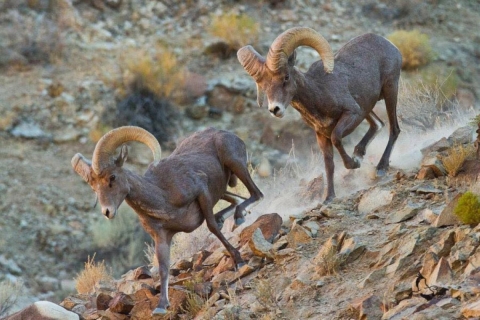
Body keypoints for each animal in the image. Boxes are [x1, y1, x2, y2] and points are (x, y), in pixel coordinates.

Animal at [72, 125, 262, 316]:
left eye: (112, 177)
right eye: (93, 186)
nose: (107, 212)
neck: (163, 196)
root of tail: (226, 133)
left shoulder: (202, 192)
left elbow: (213, 227)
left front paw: (239, 261)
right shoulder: (161, 237)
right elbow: (163, 267)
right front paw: (161, 306)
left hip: (234, 163)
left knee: (256, 194)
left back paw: (239, 216)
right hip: (222, 190)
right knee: (236, 199)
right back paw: (231, 216)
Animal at [239, 27, 402, 202]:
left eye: (286, 77)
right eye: (263, 85)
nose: (275, 109)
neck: (319, 94)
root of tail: (389, 44)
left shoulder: (352, 113)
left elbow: (336, 138)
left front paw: (353, 164)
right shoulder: (321, 135)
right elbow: (328, 163)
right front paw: (329, 197)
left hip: (390, 91)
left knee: (394, 128)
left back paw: (381, 168)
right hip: (368, 107)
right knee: (378, 124)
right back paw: (359, 153)